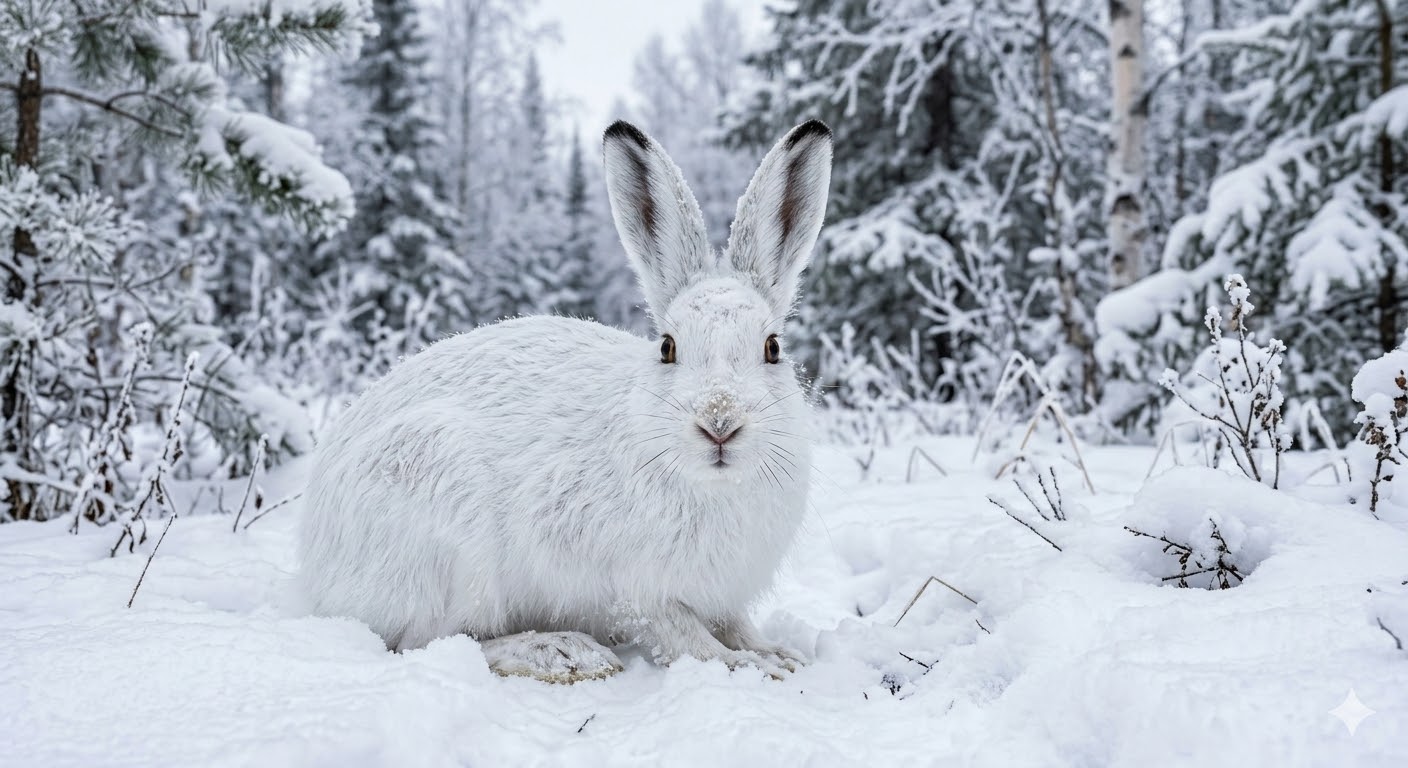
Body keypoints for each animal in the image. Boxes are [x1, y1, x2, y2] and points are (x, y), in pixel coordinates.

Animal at [298, 119, 833, 682]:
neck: (714, 483)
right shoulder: (638, 593)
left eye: (773, 348)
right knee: (430, 640)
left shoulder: (722, 596)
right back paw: (562, 653)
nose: (720, 422)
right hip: (444, 523)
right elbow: (683, 637)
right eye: (667, 347)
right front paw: (750, 667)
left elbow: (734, 625)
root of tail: (315, 564)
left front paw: (777, 654)